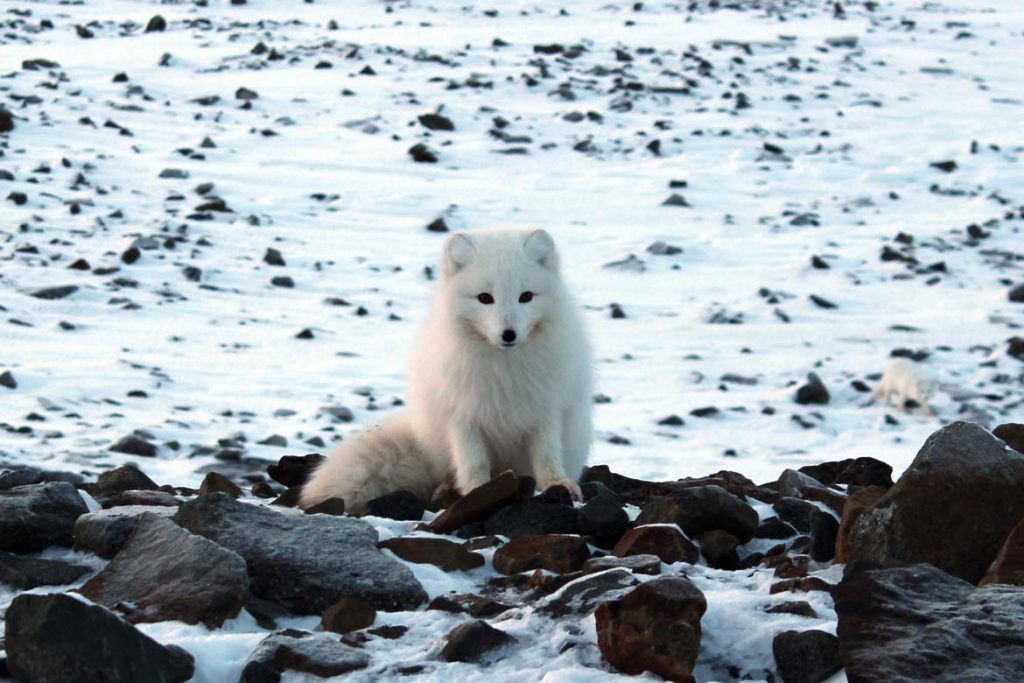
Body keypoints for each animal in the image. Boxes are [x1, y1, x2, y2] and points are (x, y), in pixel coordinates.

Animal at [299, 229, 593, 511]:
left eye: (526, 297)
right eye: (485, 298)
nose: (508, 335)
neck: (503, 367)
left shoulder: (546, 409)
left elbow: (547, 455)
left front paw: (557, 484)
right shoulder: (462, 414)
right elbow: (472, 462)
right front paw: (479, 492)